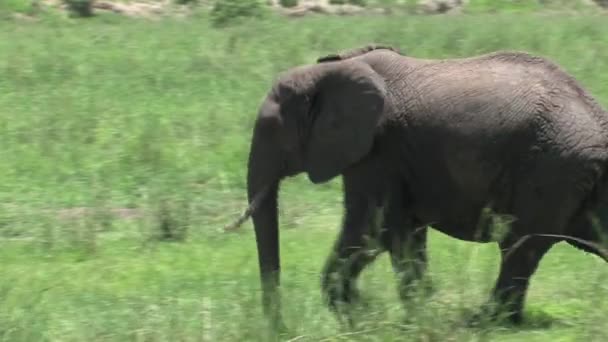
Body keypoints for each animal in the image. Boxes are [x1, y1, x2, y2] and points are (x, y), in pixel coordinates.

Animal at [227, 44, 608, 330]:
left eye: (271, 128)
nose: (279, 326)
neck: (331, 68)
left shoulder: (379, 148)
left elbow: (373, 230)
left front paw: (364, 315)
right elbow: (403, 231)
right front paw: (396, 315)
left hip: (551, 166)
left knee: (520, 246)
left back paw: (483, 322)